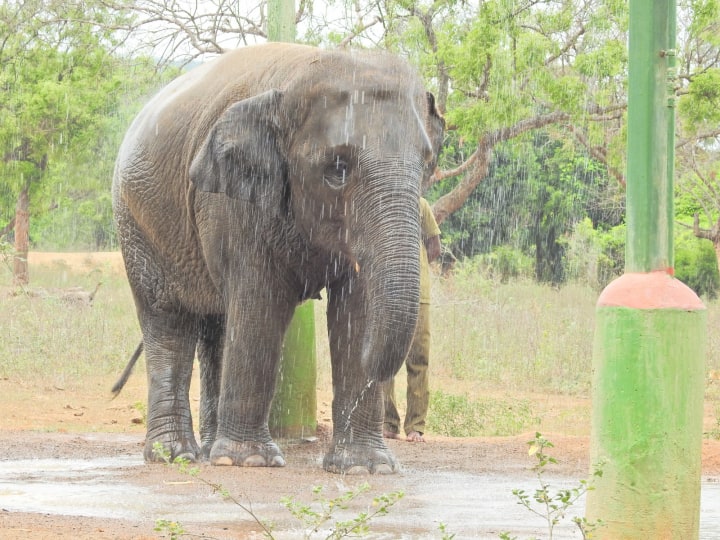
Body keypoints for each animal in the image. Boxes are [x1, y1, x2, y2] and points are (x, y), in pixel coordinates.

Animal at [112, 41, 444, 472]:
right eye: (337, 169)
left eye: (426, 164)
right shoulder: (236, 204)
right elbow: (260, 303)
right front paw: (249, 461)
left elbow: (355, 309)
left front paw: (365, 467)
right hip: (136, 225)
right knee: (168, 320)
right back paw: (176, 456)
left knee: (217, 325)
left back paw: (209, 451)